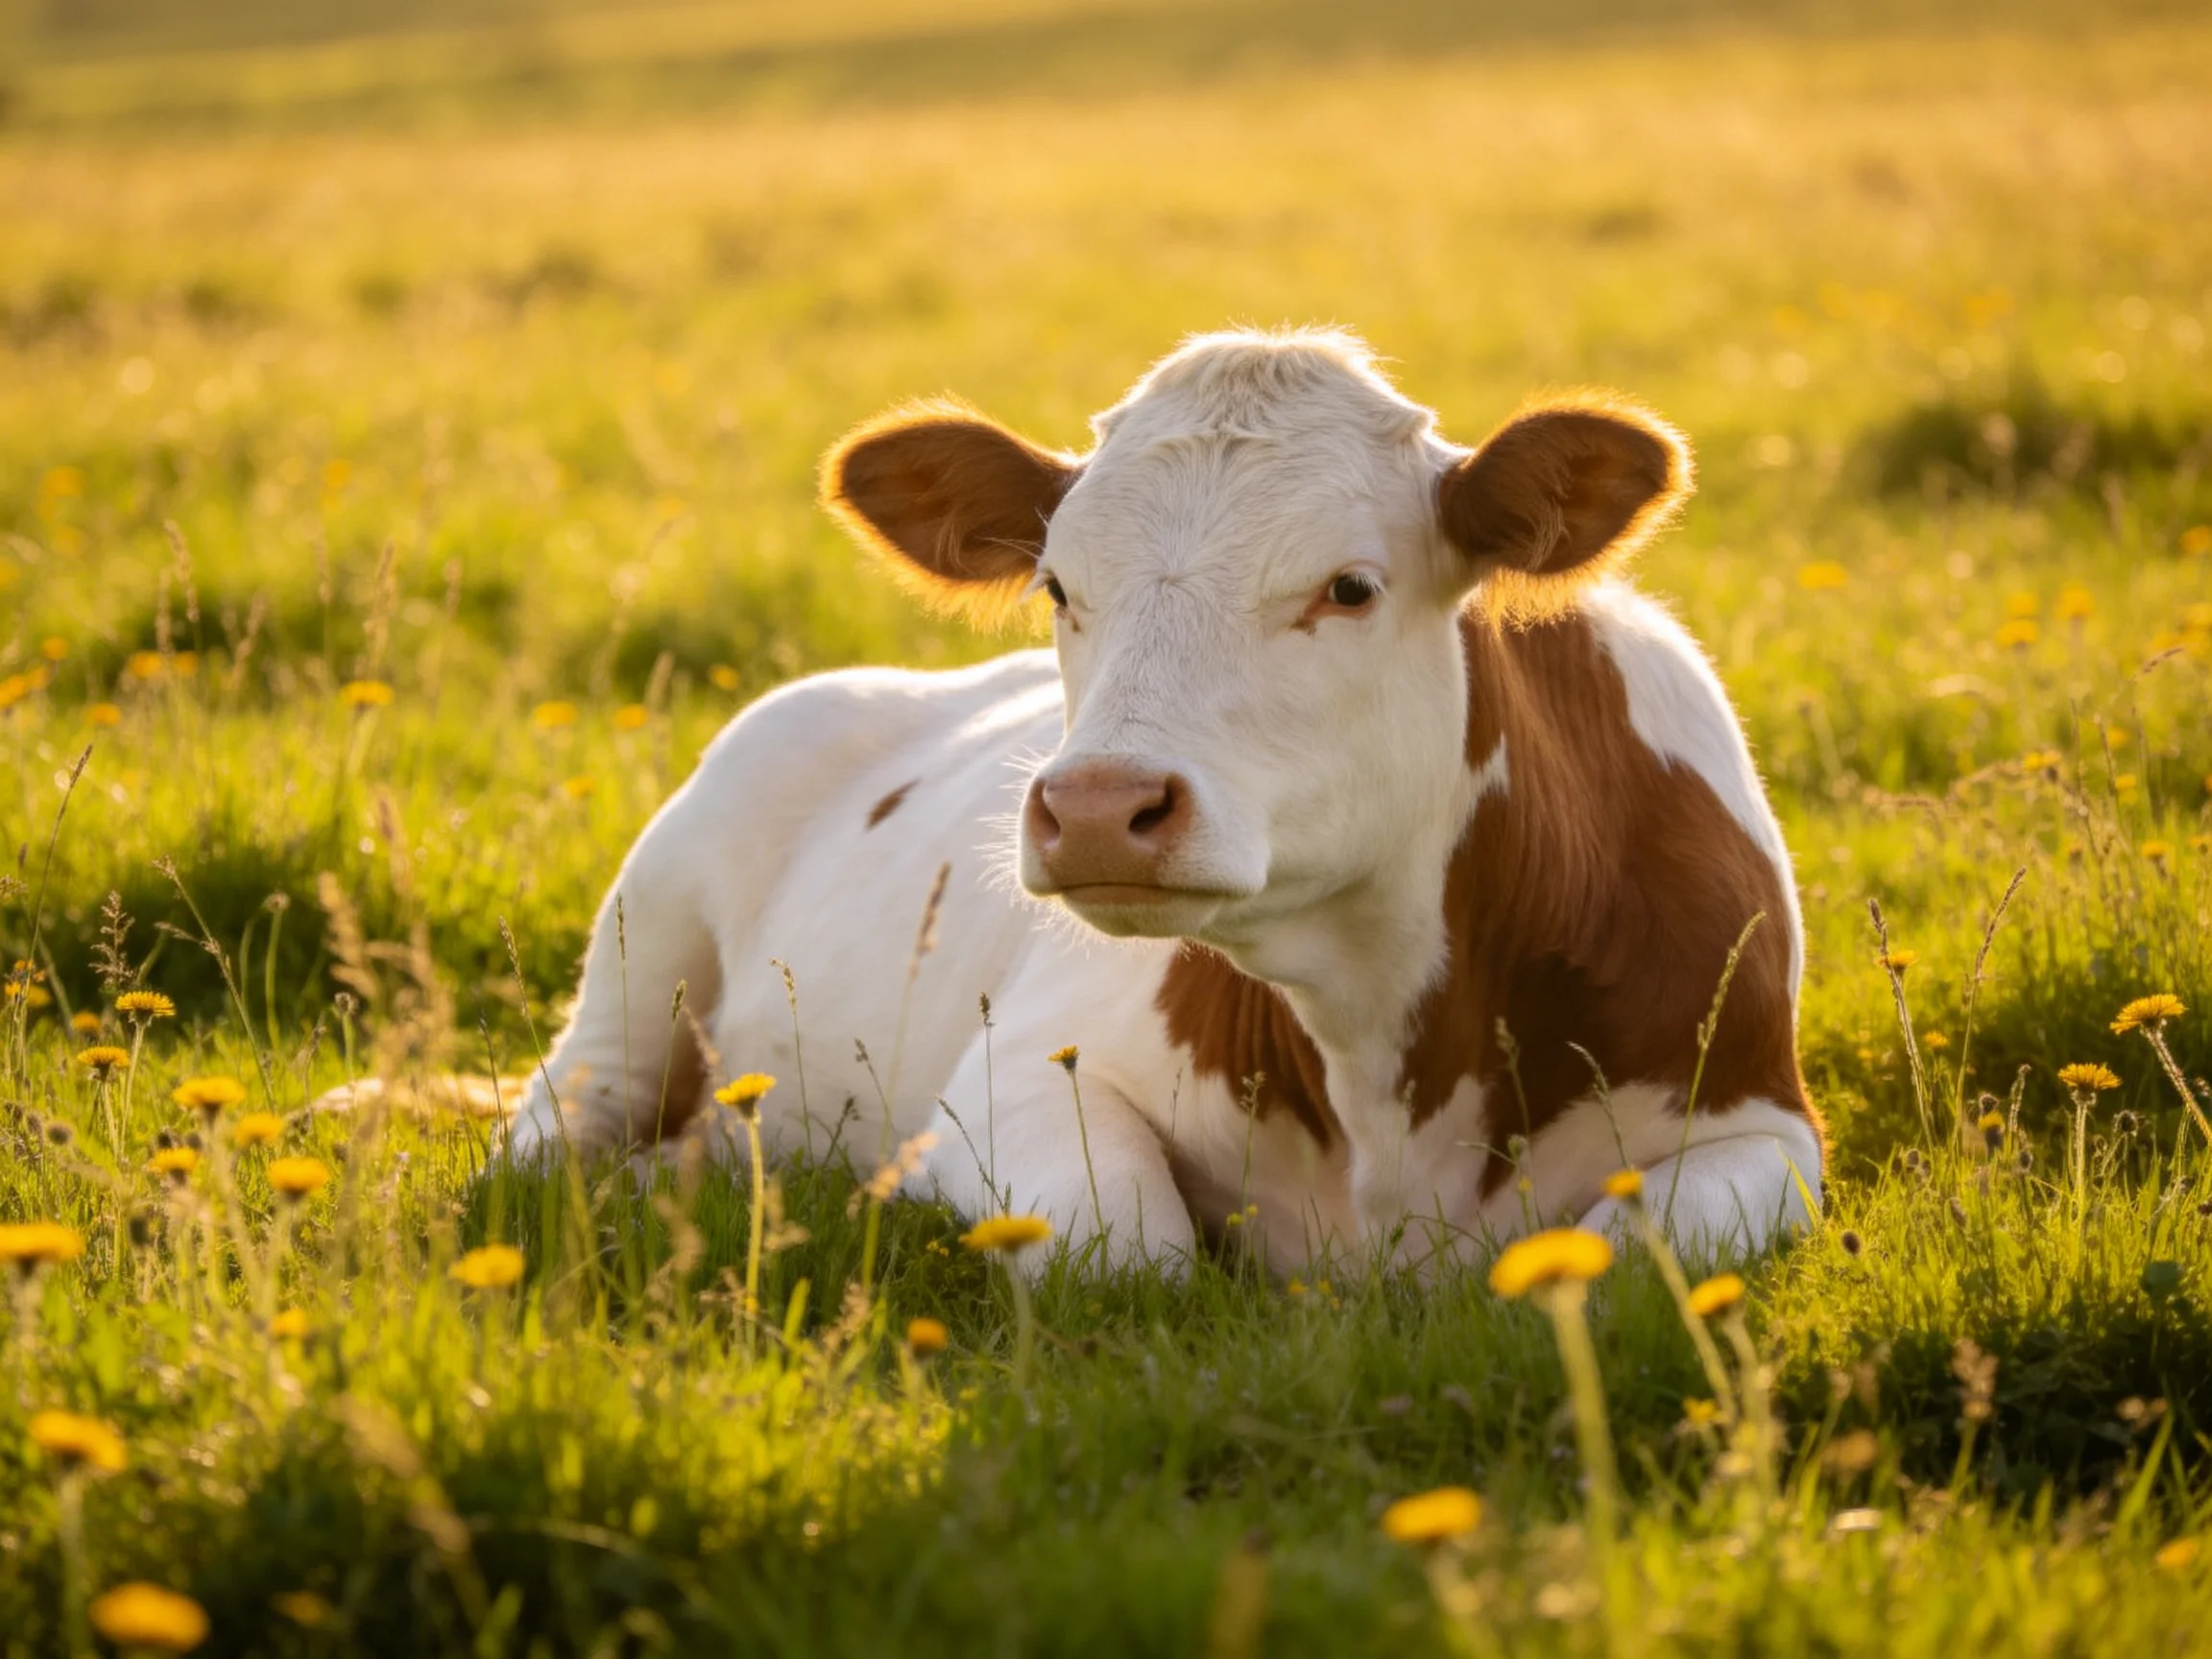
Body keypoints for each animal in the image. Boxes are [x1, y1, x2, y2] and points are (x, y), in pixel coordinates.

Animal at [503, 327, 1823, 1274]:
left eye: (1349, 587)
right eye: (1056, 586)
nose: (1096, 804)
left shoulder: (1767, 1129)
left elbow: (1629, 1253)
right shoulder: (1010, 1078)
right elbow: (1128, 1253)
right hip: (635, 973)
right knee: (548, 1135)